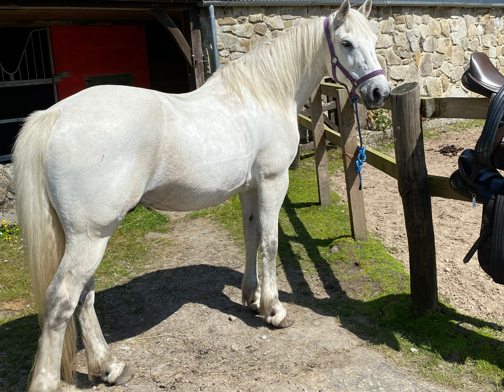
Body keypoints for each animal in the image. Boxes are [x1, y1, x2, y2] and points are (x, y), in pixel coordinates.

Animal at [12, 1, 390, 390]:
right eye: (346, 43)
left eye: (374, 39)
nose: (380, 92)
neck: (265, 94)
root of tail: (55, 115)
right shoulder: (273, 182)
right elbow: (270, 243)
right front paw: (274, 310)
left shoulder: (249, 188)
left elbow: (252, 237)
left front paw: (251, 297)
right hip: (91, 236)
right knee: (62, 299)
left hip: (86, 236)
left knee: (84, 297)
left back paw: (109, 367)